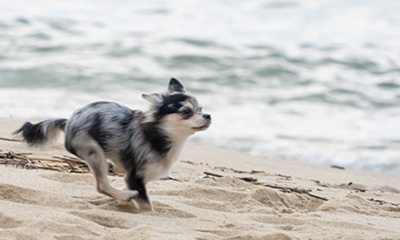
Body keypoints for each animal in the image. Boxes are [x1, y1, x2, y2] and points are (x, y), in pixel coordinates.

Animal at [14, 78, 211, 210]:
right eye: (187, 111)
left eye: (201, 109)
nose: (208, 115)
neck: (161, 134)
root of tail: (69, 121)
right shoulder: (136, 177)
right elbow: (146, 205)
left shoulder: (134, 178)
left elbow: (137, 191)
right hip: (94, 152)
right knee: (102, 186)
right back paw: (126, 196)